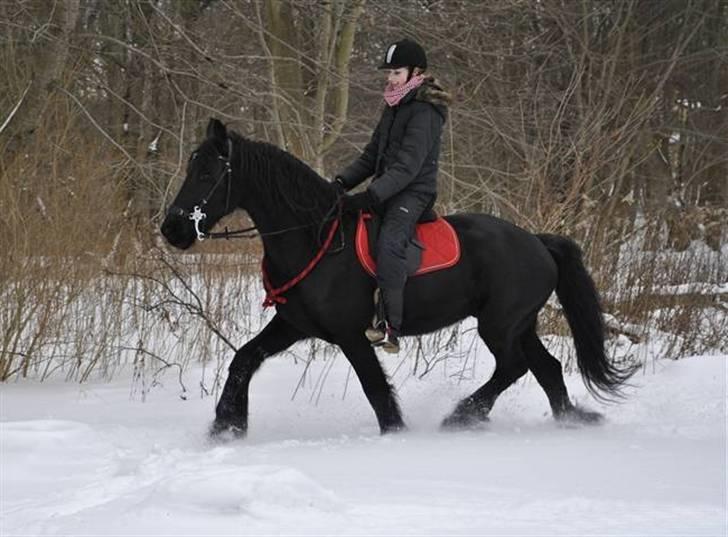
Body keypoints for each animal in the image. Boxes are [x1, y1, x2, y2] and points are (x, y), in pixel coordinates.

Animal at [161, 118, 636, 436]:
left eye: (207, 173)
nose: (172, 229)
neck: (315, 239)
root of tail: (538, 243)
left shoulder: (350, 335)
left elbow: (376, 390)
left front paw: (395, 435)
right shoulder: (293, 324)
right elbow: (243, 359)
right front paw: (226, 427)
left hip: (500, 324)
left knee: (515, 366)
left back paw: (463, 416)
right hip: (519, 324)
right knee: (546, 368)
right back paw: (570, 421)